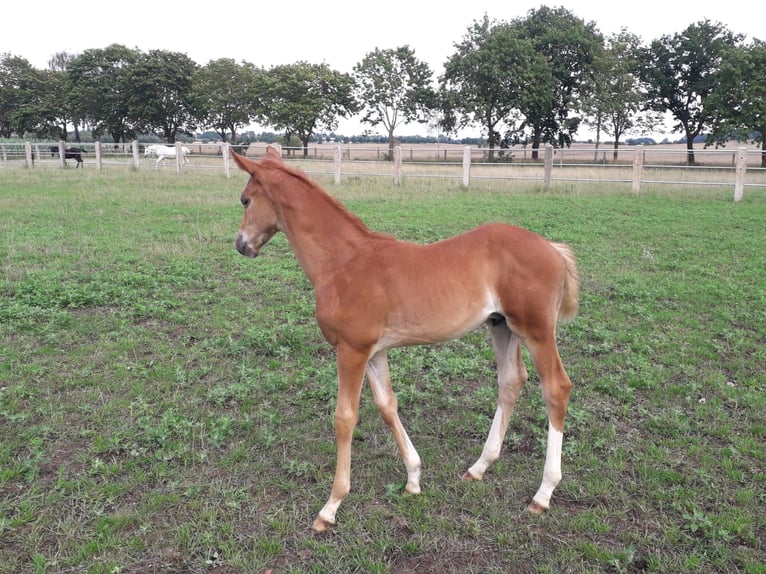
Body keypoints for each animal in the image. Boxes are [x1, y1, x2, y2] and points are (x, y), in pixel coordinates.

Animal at [231, 146, 580, 532]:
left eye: (245, 199)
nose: (241, 245)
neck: (342, 262)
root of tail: (551, 247)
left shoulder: (351, 350)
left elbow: (344, 417)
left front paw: (331, 505)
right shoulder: (373, 352)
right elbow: (387, 405)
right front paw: (413, 478)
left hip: (536, 330)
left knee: (556, 388)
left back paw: (543, 493)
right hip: (501, 326)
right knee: (511, 381)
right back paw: (478, 468)